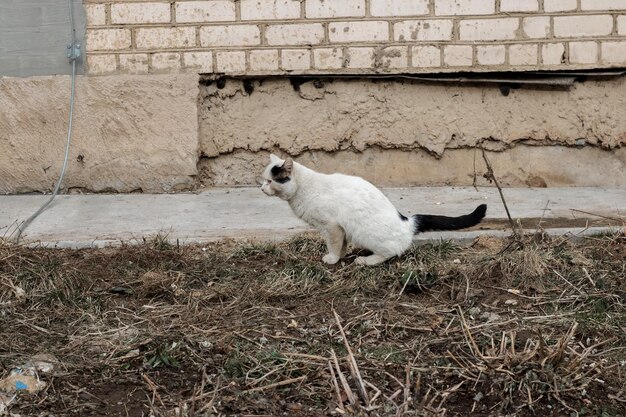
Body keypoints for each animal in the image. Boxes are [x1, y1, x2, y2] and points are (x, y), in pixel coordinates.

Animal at [260, 154, 486, 264]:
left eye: (271, 181)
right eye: (264, 180)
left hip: (365, 234)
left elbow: (334, 244)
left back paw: (365, 261)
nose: (261, 188)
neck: (303, 189)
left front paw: (332, 259)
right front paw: (341, 257)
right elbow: (342, 245)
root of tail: (407, 222)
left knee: (392, 252)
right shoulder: (340, 229)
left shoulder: (331, 226)